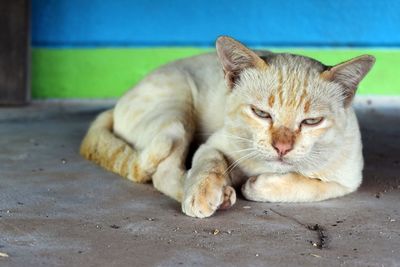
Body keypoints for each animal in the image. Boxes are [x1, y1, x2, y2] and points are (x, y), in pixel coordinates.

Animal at [80, 36, 376, 218]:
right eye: (261, 113)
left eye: (311, 121)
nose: (281, 147)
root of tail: (119, 101)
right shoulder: (212, 144)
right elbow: (208, 164)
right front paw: (202, 193)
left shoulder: (348, 180)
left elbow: (308, 186)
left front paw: (257, 185)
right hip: (177, 114)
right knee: (163, 171)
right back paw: (217, 194)